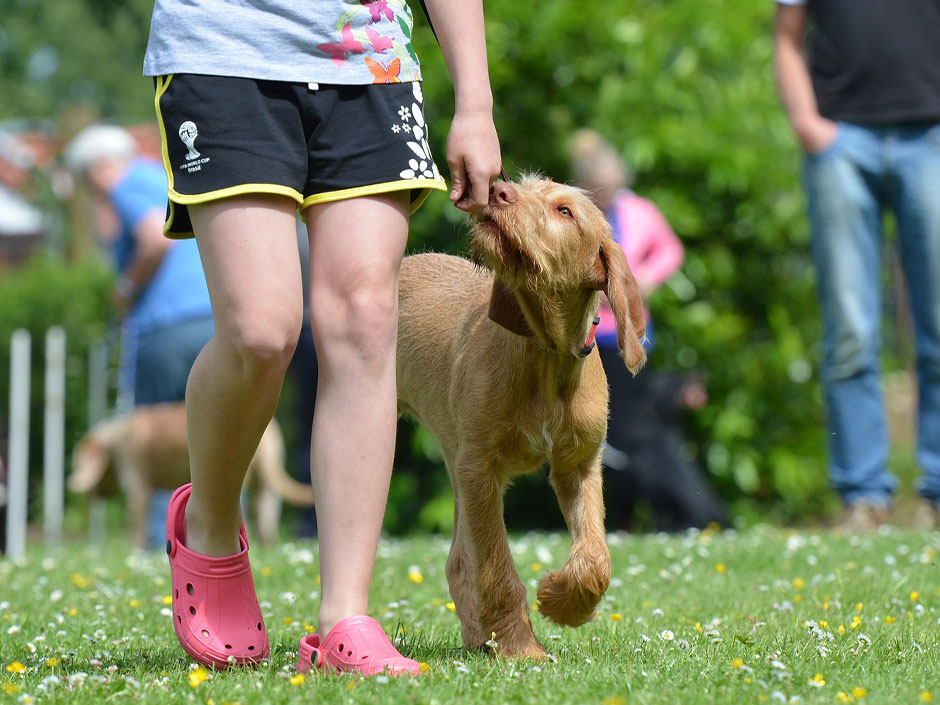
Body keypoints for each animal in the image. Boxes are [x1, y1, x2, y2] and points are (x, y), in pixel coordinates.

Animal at [68, 402, 316, 552]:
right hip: (266, 484)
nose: (92, 497)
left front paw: (135, 552)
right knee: (267, 522)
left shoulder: (137, 484)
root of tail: (270, 430)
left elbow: (137, 524)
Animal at [394, 173, 648, 656]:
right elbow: (497, 568)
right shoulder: (480, 469)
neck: (544, 355)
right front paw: (520, 648)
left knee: (458, 561)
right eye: (525, 185)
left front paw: (563, 602)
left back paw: (478, 638)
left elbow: (596, 556)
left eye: (565, 211)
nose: (498, 190)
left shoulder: (578, 465)